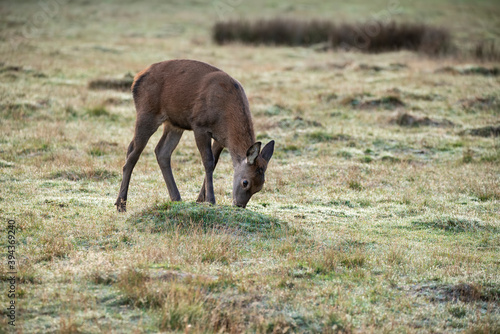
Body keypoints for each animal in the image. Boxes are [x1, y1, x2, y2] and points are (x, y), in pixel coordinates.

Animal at [115, 59, 276, 211]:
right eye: (245, 182)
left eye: (260, 187)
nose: (239, 205)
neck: (225, 115)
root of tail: (136, 80)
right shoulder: (199, 126)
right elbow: (208, 162)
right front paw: (210, 200)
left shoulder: (221, 138)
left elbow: (214, 163)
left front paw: (199, 200)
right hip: (147, 112)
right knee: (133, 152)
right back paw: (121, 204)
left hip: (174, 124)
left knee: (161, 151)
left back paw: (176, 198)